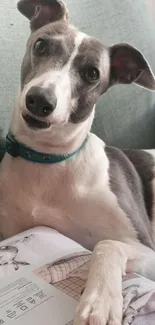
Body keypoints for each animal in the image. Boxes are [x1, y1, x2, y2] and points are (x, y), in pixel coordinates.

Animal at [0, 0, 155, 322]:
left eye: (93, 74)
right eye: (41, 45)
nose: (40, 101)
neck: (49, 160)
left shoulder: (146, 248)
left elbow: (106, 244)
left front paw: (100, 302)